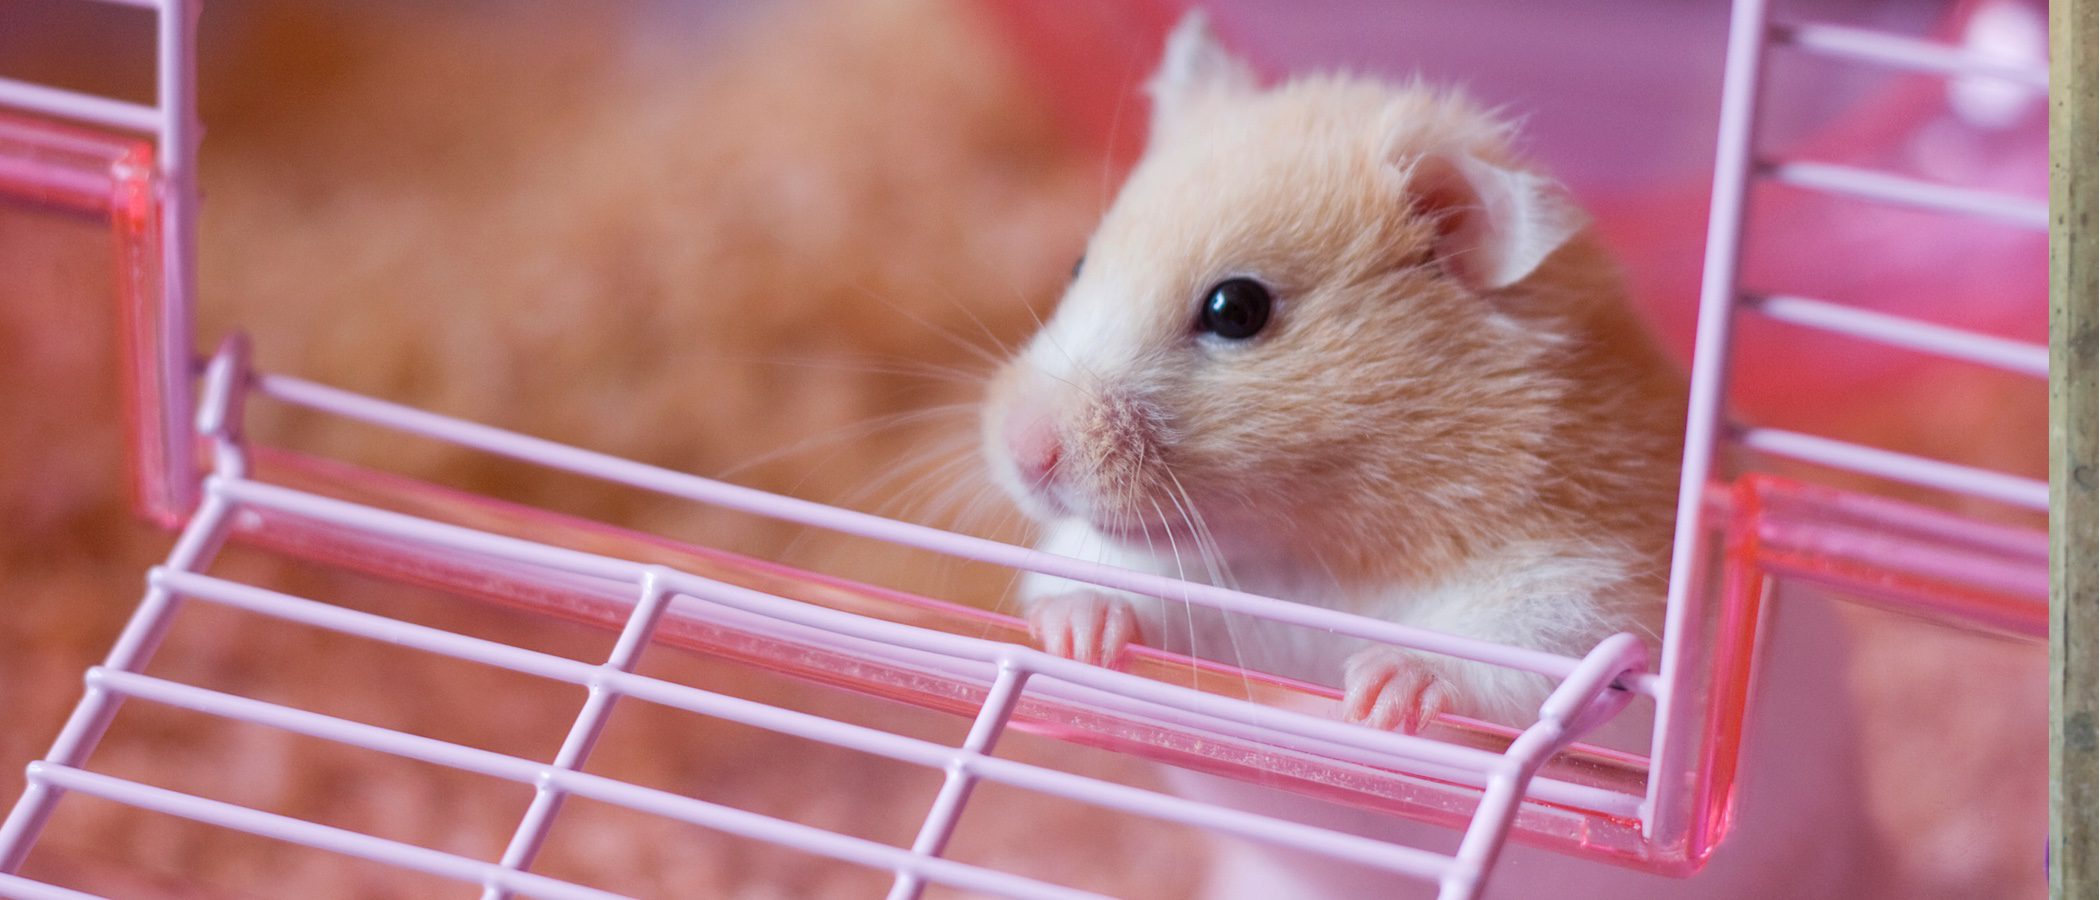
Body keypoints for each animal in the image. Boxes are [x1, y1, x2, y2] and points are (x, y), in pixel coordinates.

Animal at [980, 12, 1687, 737]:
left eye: (1236, 310)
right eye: (1078, 266)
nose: (1024, 452)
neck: (1312, 554)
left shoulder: (1584, 583)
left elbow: (1519, 657)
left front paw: (1378, 699)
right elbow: (1107, 587)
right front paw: (1075, 634)